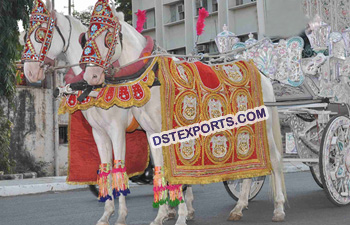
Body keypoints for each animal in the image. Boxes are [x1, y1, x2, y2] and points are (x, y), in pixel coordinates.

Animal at [21, 0, 193, 224]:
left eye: (41, 34)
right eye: (26, 34)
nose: (29, 72)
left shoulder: (117, 130)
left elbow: (120, 168)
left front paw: (121, 216)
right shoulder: (99, 132)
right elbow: (106, 169)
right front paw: (107, 214)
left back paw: (185, 208)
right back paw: (178, 208)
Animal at [72, 0, 286, 223]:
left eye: (108, 37)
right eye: (85, 39)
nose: (91, 76)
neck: (151, 78)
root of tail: (262, 74)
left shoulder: (160, 133)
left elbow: (176, 174)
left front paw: (180, 216)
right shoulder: (149, 134)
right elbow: (160, 171)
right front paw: (161, 216)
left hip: (263, 129)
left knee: (275, 161)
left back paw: (278, 208)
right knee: (250, 169)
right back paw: (239, 207)